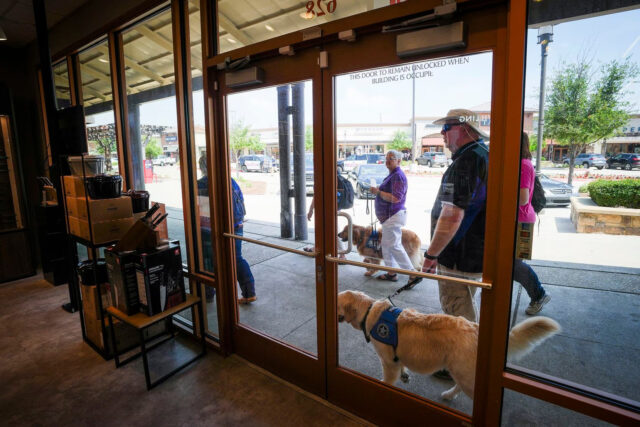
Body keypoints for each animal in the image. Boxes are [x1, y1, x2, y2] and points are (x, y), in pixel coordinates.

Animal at [338, 290, 556, 402]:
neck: (369, 311)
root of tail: (476, 328)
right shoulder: (396, 356)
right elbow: (402, 365)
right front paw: (405, 374)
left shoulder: (388, 361)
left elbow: (388, 379)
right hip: (461, 369)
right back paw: (449, 395)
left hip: (464, 372)